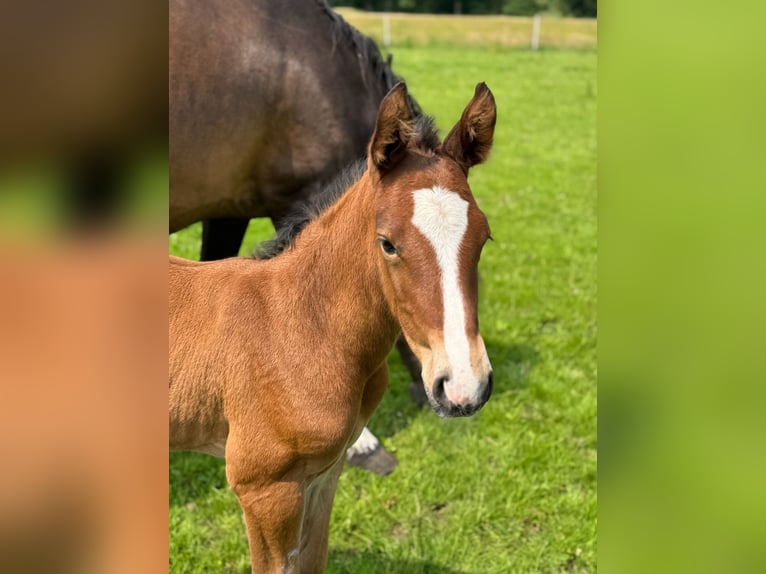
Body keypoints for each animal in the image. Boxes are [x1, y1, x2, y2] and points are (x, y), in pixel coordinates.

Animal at [169, 82, 497, 573]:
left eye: (484, 237)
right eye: (387, 243)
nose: (463, 386)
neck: (301, 329)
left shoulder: (325, 474)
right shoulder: (265, 490)